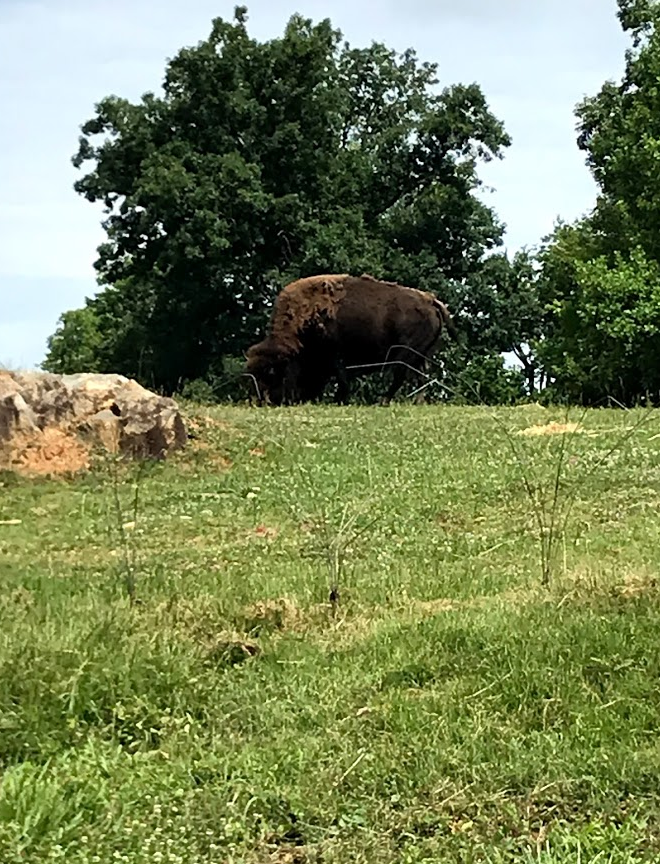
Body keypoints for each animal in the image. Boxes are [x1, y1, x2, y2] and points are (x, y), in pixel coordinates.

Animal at [245, 273, 457, 405]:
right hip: (420, 355)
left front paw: (340, 399)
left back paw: (383, 401)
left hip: (405, 353)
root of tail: (429, 300)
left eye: (270, 373)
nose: (262, 401)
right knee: (421, 377)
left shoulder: (335, 356)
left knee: (401, 375)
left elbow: (342, 379)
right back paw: (415, 401)